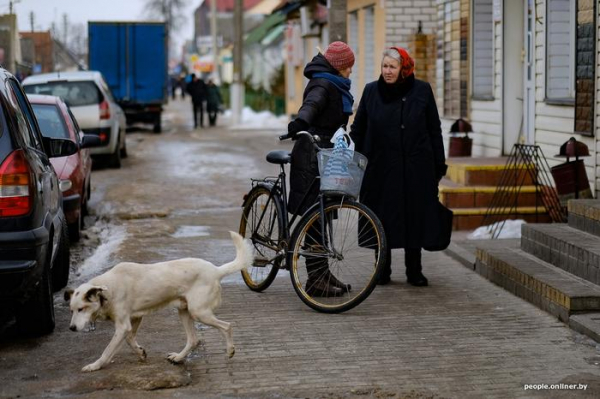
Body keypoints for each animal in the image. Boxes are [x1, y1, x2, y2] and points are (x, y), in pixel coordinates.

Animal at [64, 231, 254, 372]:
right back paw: (178, 358)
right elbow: (130, 339)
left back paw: (230, 351)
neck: (107, 289)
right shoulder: (135, 319)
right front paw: (140, 353)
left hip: (199, 312)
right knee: (193, 339)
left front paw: (94, 366)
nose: (71, 328)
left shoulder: (123, 325)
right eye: (72, 310)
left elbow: (107, 350)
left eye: (81, 309)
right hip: (184, 311)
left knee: (227, 326)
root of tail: (216, 270)